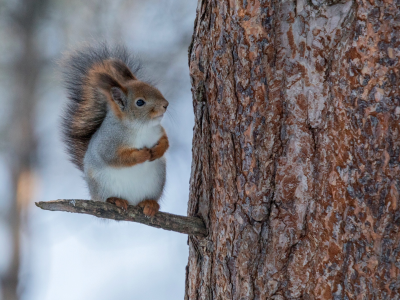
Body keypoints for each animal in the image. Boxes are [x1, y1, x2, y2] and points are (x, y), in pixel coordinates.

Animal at [61, 43, 169, 217]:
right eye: (140, 102)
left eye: (153, 88)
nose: (165, 104)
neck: (140, 127)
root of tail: (132, 201)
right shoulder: (108, 143)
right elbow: (116, 158)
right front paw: (143, 154)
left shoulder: (158, 130)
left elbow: (166, 140)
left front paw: (158, 150)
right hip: (102, 185)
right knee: (106, 198)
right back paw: (115, 200)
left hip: (157, 180)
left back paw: (150, 204)